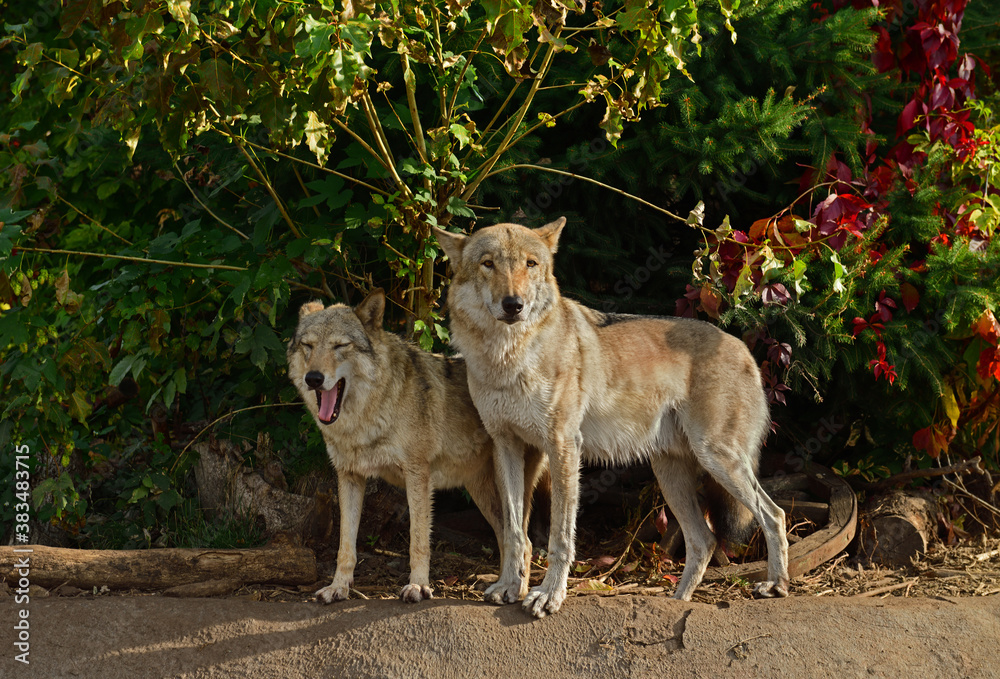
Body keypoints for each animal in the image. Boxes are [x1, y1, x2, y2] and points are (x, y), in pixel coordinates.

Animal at [287, 289, 545, 604]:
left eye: (340, 346)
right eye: (308, 346)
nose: (313, 378)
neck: (368, 415)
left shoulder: (418, 474)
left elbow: (418, 540)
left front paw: (418, 586)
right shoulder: (349, 477)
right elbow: (345, 546)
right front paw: (338, 587)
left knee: (525, 542)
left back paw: (514, 591)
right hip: (483, 493)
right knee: (509, 538)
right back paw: (500, 584)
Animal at [434, 218, 789, 618]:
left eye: (530, 264)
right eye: (488, 264)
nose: (514, 305)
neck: (508, 357)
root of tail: (742, 347)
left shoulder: (562, 446)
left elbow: (559, 537)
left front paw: (549, 595)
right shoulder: (508, 447)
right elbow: (514, 531)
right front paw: (509, 587)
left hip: (718, 460)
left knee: (774, 515)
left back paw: (776, 586)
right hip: (671, 475)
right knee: (705, 541)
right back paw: (676, 602)